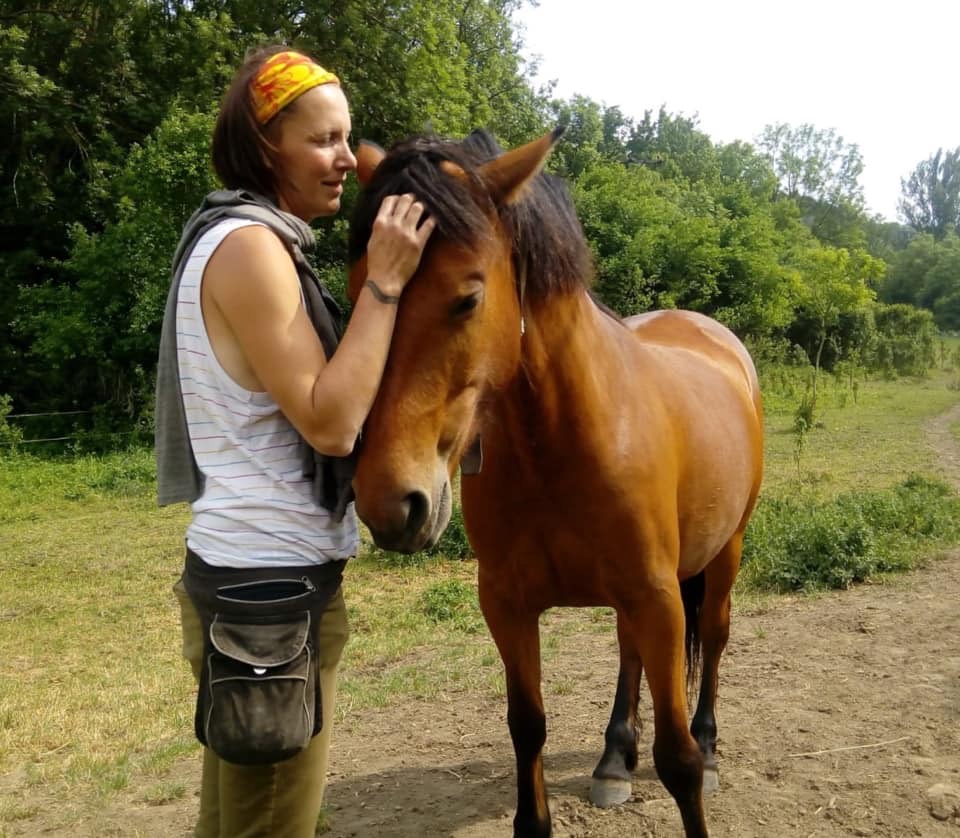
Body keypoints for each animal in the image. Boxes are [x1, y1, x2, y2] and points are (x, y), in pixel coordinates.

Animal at [346, 128, 764, 838]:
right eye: (360, 292)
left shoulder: (659, 597)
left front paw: (692, 760)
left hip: (724, 552)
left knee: (714, 636)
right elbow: (527, 727)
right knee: (629, 651)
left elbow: (677, 761)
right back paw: (615, 758)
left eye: (468, 298)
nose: (390, 502)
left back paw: (709, 746)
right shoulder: (508, 605)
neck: (562, 445)